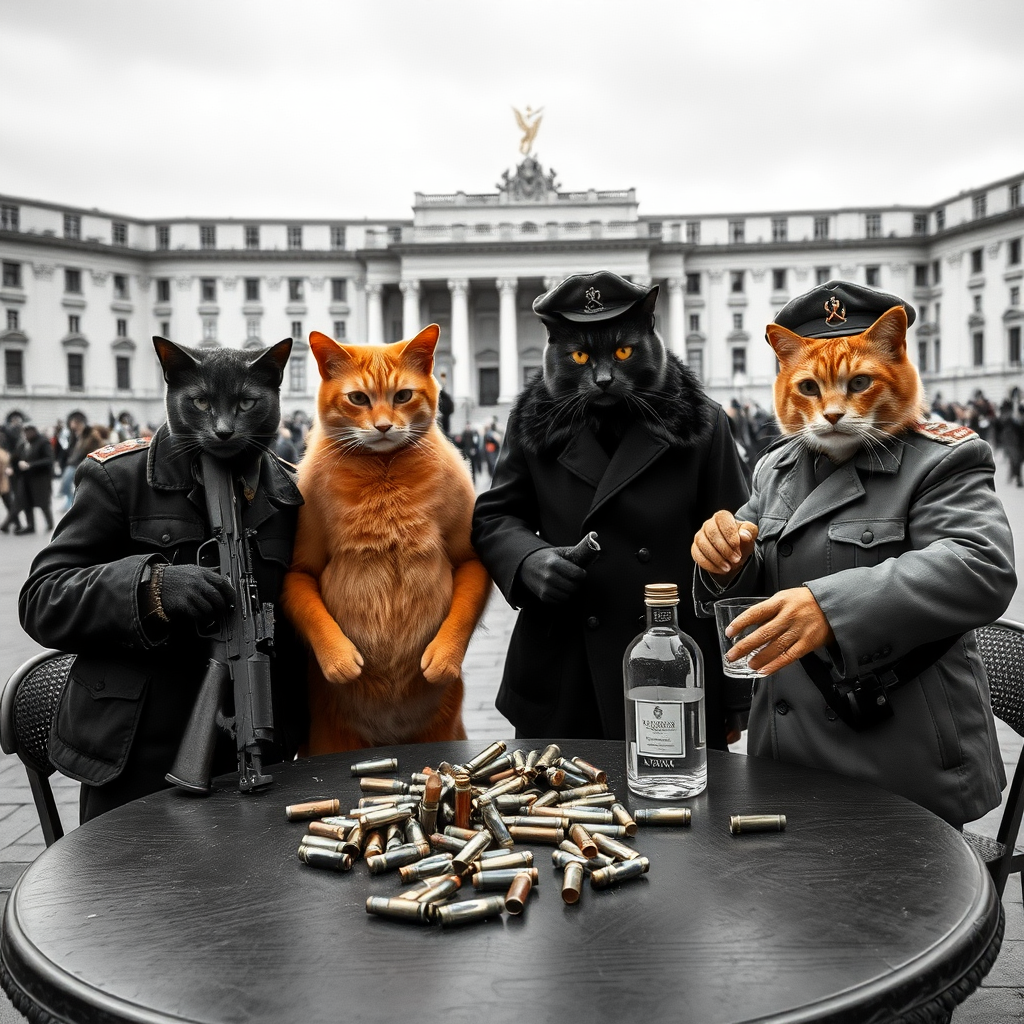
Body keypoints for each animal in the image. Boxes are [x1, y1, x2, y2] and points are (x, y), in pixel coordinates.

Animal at [278, 323, 489, 757]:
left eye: (403, 396)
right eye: (358, 398)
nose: (383, 427)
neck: (383, 466)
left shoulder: (468, 553)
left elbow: (464, 594)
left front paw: (441, 658)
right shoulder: (301, 560)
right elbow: (307, 596)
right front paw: (340, 659)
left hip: (441, 728)